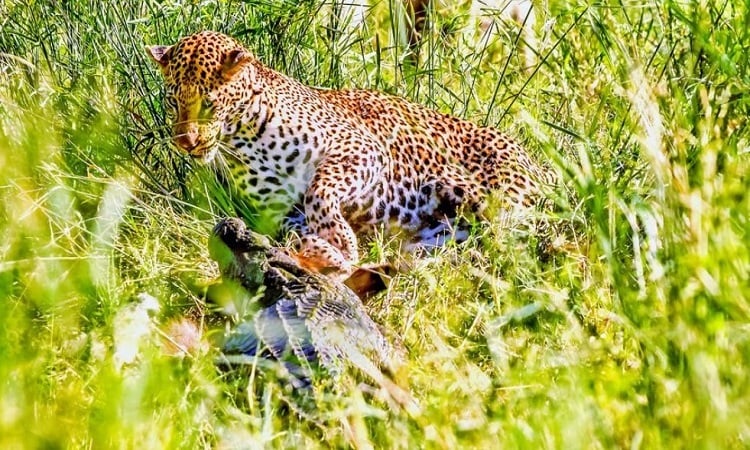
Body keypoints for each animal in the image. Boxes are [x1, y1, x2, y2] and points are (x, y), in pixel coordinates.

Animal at [147, 29, 560, 276]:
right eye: (172, 101)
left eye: (209, 104)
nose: (185, 142)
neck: (242, 137)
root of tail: (538, 163)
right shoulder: (280, 209)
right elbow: (299, 230)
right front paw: (326, 251)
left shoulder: (361, 151)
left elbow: (320, 192)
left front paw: (341, 241)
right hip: (436, 234)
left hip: (487, 194)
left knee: (517, 240)